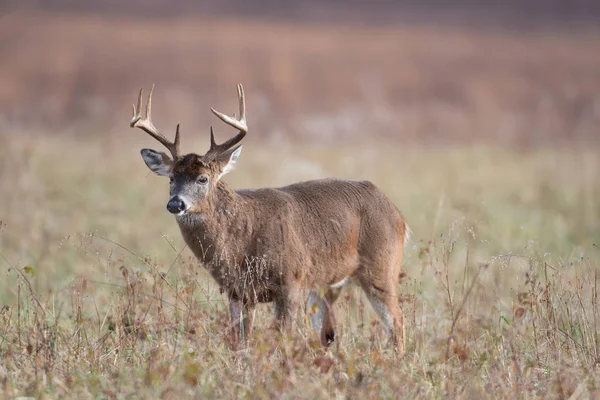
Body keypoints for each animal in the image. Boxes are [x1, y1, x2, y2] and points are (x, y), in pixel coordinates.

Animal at [129, 83, 410, 350]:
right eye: (171, 178)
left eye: (203, 178)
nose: (175, 203)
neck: (242, 241)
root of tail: (398, 215)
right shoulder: (237, 292)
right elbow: (239, 341)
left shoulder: (291, 280)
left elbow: (280, 336)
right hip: (326, 284)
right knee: (328, 333)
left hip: (381, 266)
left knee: (396, 320)